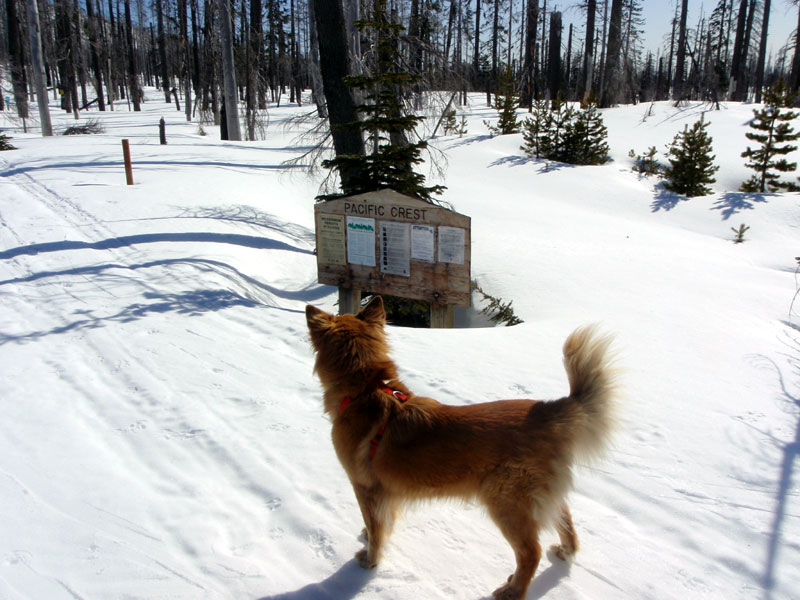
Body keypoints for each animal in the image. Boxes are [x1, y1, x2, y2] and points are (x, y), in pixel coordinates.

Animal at [306, 298, 620, 596]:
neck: (365, 390)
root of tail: (549, 410)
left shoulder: (365, 486)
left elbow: (375, 527)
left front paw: (370, 560)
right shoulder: (384, 493)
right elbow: (381, 523)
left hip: (506, 503)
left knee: (531, 552)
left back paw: (513, 591)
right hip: (539, 497)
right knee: (565, 520)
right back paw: (566, 551)